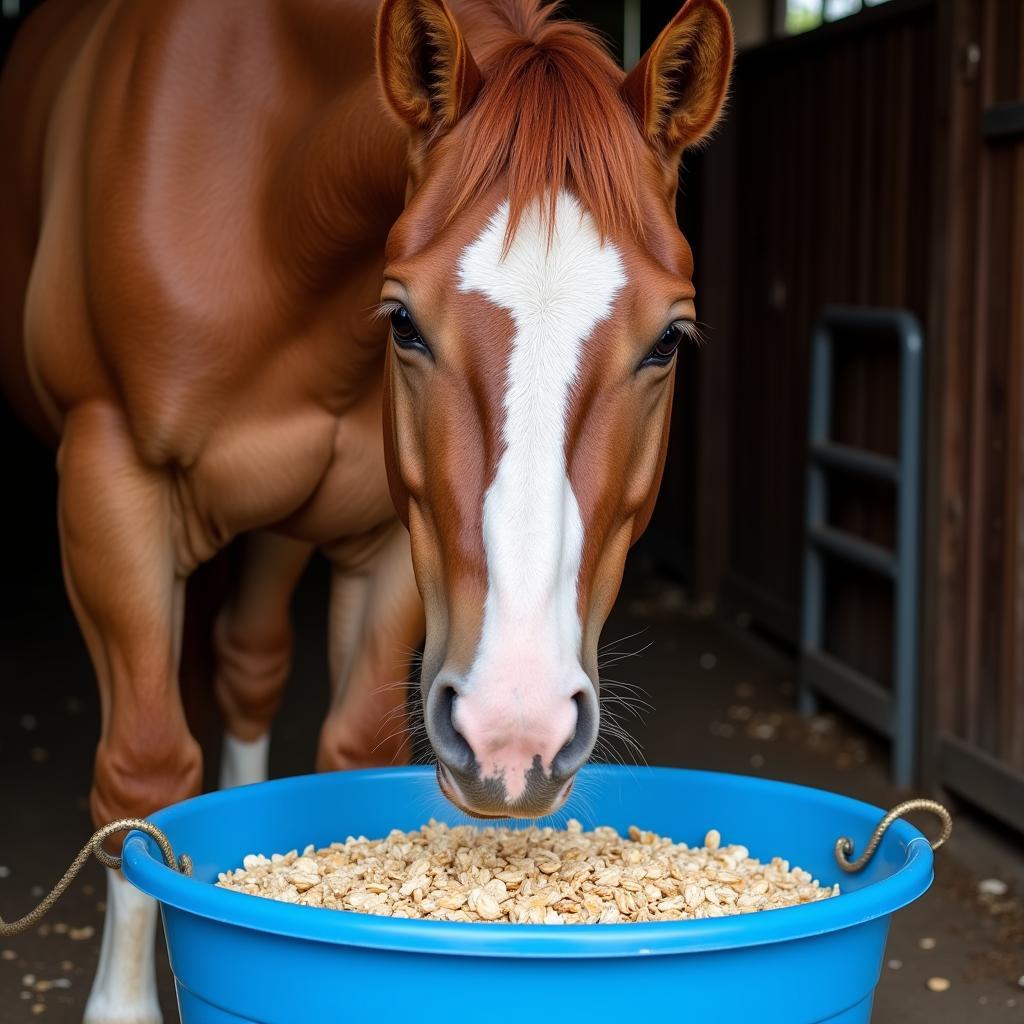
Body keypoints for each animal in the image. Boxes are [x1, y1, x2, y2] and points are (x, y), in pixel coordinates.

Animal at [2, 0, 737, 1015]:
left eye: (669, 340)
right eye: (402, 321)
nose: (517, 731)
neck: (271, 204)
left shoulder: (388, 536)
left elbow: (347, 750)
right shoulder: (111, 485)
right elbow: (142, 770)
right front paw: (122, 1005)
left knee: (250, 664)